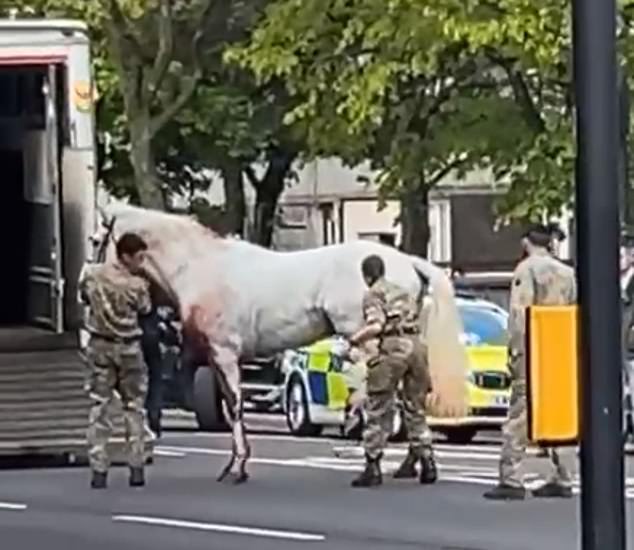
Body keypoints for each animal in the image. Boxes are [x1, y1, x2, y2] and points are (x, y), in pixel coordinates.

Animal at [92, 202, 470, 484]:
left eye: (98, 239)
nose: (89, 278)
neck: (199, 267)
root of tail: (406, 261)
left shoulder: (224, 353)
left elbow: (236, 406)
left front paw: (237, 467)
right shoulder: (219, 359)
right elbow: (231, 406)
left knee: (384, 398)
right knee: (410, 401)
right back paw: (411, 466)